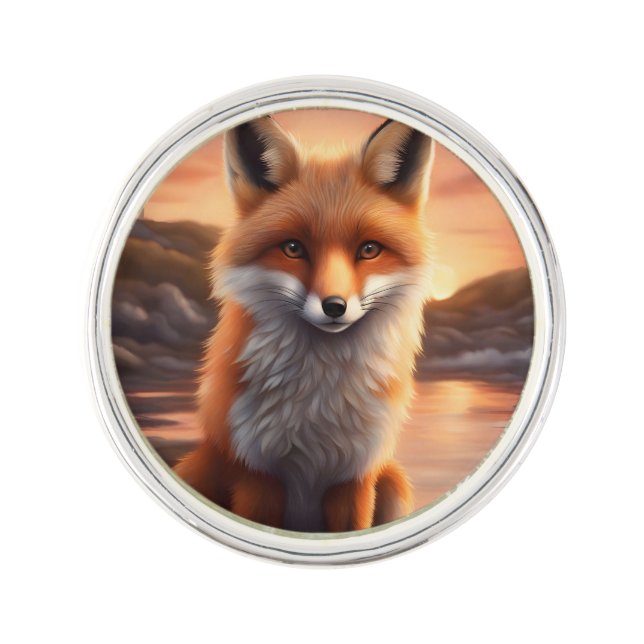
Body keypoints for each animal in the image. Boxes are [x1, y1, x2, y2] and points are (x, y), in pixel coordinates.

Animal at [174, 114, 435, 532]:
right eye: (293, 248)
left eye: (369, 249)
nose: (335, 306)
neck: (319, 407)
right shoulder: (257, 473)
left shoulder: (355, 477)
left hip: (393, 482)